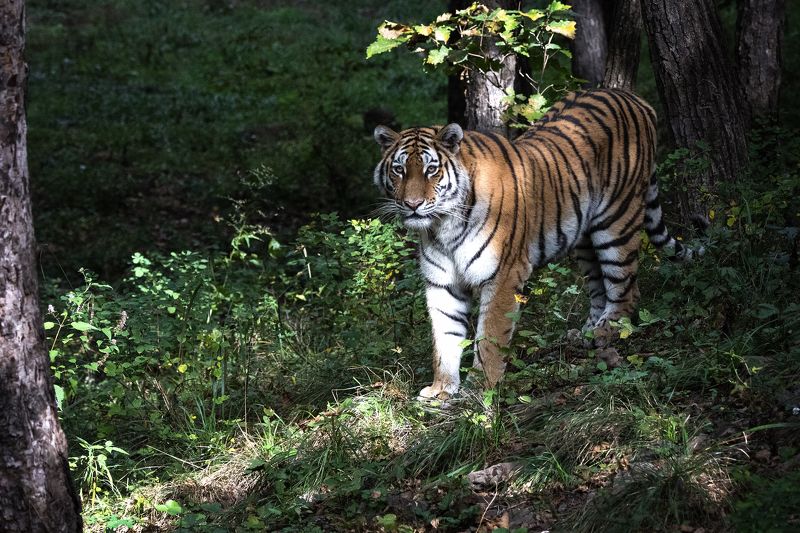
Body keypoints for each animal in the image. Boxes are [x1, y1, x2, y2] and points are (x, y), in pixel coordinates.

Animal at [372, 89, 695, 400]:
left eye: (431, 170)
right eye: (399, 170)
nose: (412, 204)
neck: (443, 226)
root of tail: (635, 99)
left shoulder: (503, 275)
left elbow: (490, 337)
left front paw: (481, 389)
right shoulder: (442, 283)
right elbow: (445, 338)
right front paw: (441, 389)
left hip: (617, 222)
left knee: (626, 288)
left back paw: (605, 333)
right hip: (584, 239)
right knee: (599, 288)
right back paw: (585, 335)